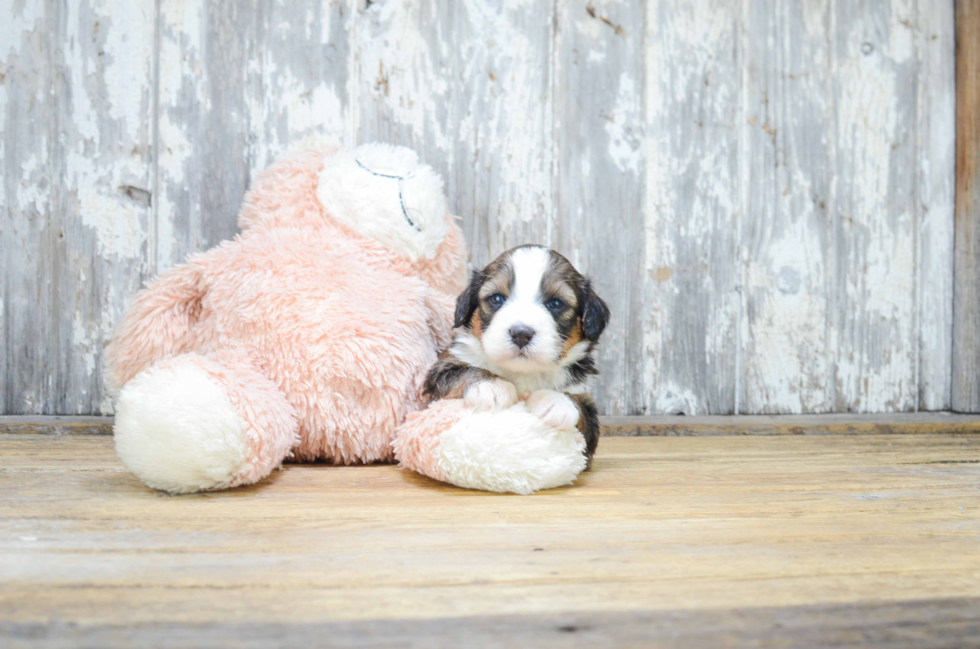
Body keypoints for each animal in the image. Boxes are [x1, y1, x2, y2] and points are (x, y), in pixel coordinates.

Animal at [424, 243, 608, 460]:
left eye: (555, 303)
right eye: (497, 298)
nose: (521, 334)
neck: (522, 373)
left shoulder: (589, 424)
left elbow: (582, 409)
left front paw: (556, 401)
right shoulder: (438, 375)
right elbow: (460, 372)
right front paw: (491, 385)